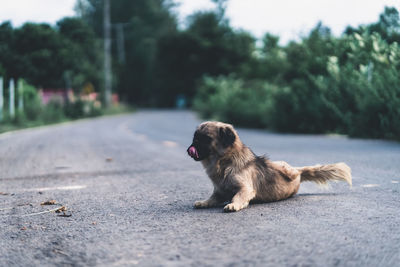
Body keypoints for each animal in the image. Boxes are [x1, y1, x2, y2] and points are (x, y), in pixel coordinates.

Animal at [186, 122, 352, 214]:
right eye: (195, 137)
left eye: (206, 138)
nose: (190, 148)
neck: (225, 163)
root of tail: (299, 173)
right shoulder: (219, 192)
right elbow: (212, 199)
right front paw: (204, 202)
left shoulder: (245, 189)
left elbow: (237, 196)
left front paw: (233, 204)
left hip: (281, 165)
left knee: (287, 169)